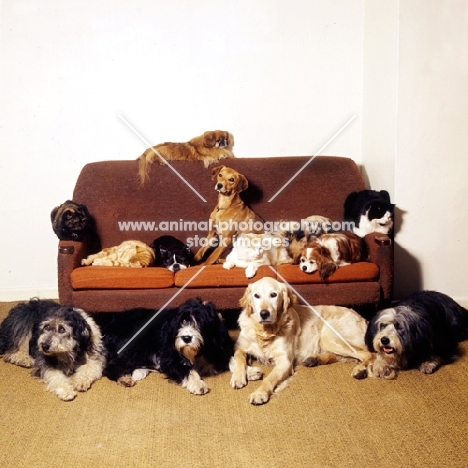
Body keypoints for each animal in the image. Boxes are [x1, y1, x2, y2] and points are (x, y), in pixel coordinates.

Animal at [95, 298, 234, 394]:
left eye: (200, 322)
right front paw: (198, 384)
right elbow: (186, 369)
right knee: (110, 366)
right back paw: (124, 378)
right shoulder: (170, 357)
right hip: (138, 341)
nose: (186, 338)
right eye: (183, 321)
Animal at [229, 276, 374, 404]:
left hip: (329, 335)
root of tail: (363, 318)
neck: (264, 332)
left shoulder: (285, 361)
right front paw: (241, 376)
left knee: (368, 354)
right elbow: (236, 359)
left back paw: (360, 370)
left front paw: (259, 393)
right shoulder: (239, 347)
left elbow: (269, 378)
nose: (264, 313)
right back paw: (314, 359)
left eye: (273, 295)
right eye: (256, 296)